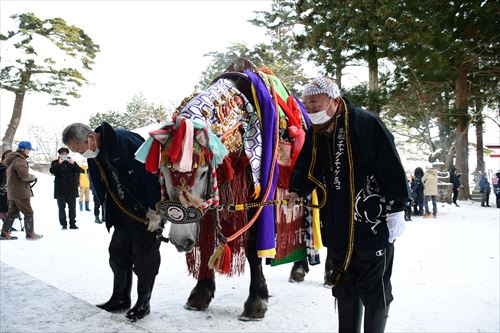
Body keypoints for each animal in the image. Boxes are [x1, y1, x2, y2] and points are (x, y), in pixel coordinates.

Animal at [136, 58, 324, 320]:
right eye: (162, 172)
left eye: (203, 172)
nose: (180, 240)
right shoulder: (212, 199)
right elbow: (206, 240)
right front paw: (200, 293)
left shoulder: (256, 199)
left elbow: (253, 245)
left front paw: (256, 301)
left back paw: (307, 269)